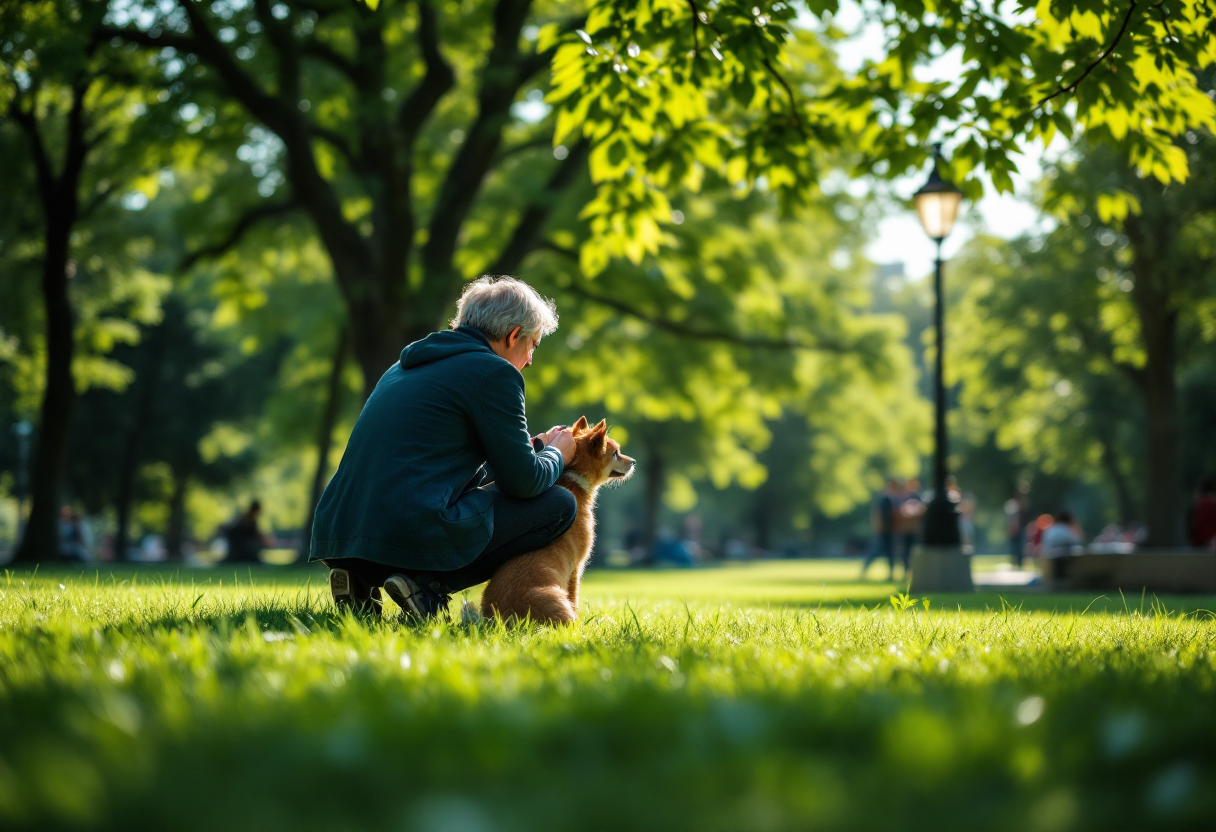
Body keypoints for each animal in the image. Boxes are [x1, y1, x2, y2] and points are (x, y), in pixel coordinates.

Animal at [479, 416, 637, 622]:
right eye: (616, 454)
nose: (634, 462)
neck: (574, 479)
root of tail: (503, 616)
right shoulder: (576, 569)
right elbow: (574, 597)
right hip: (555, 598)